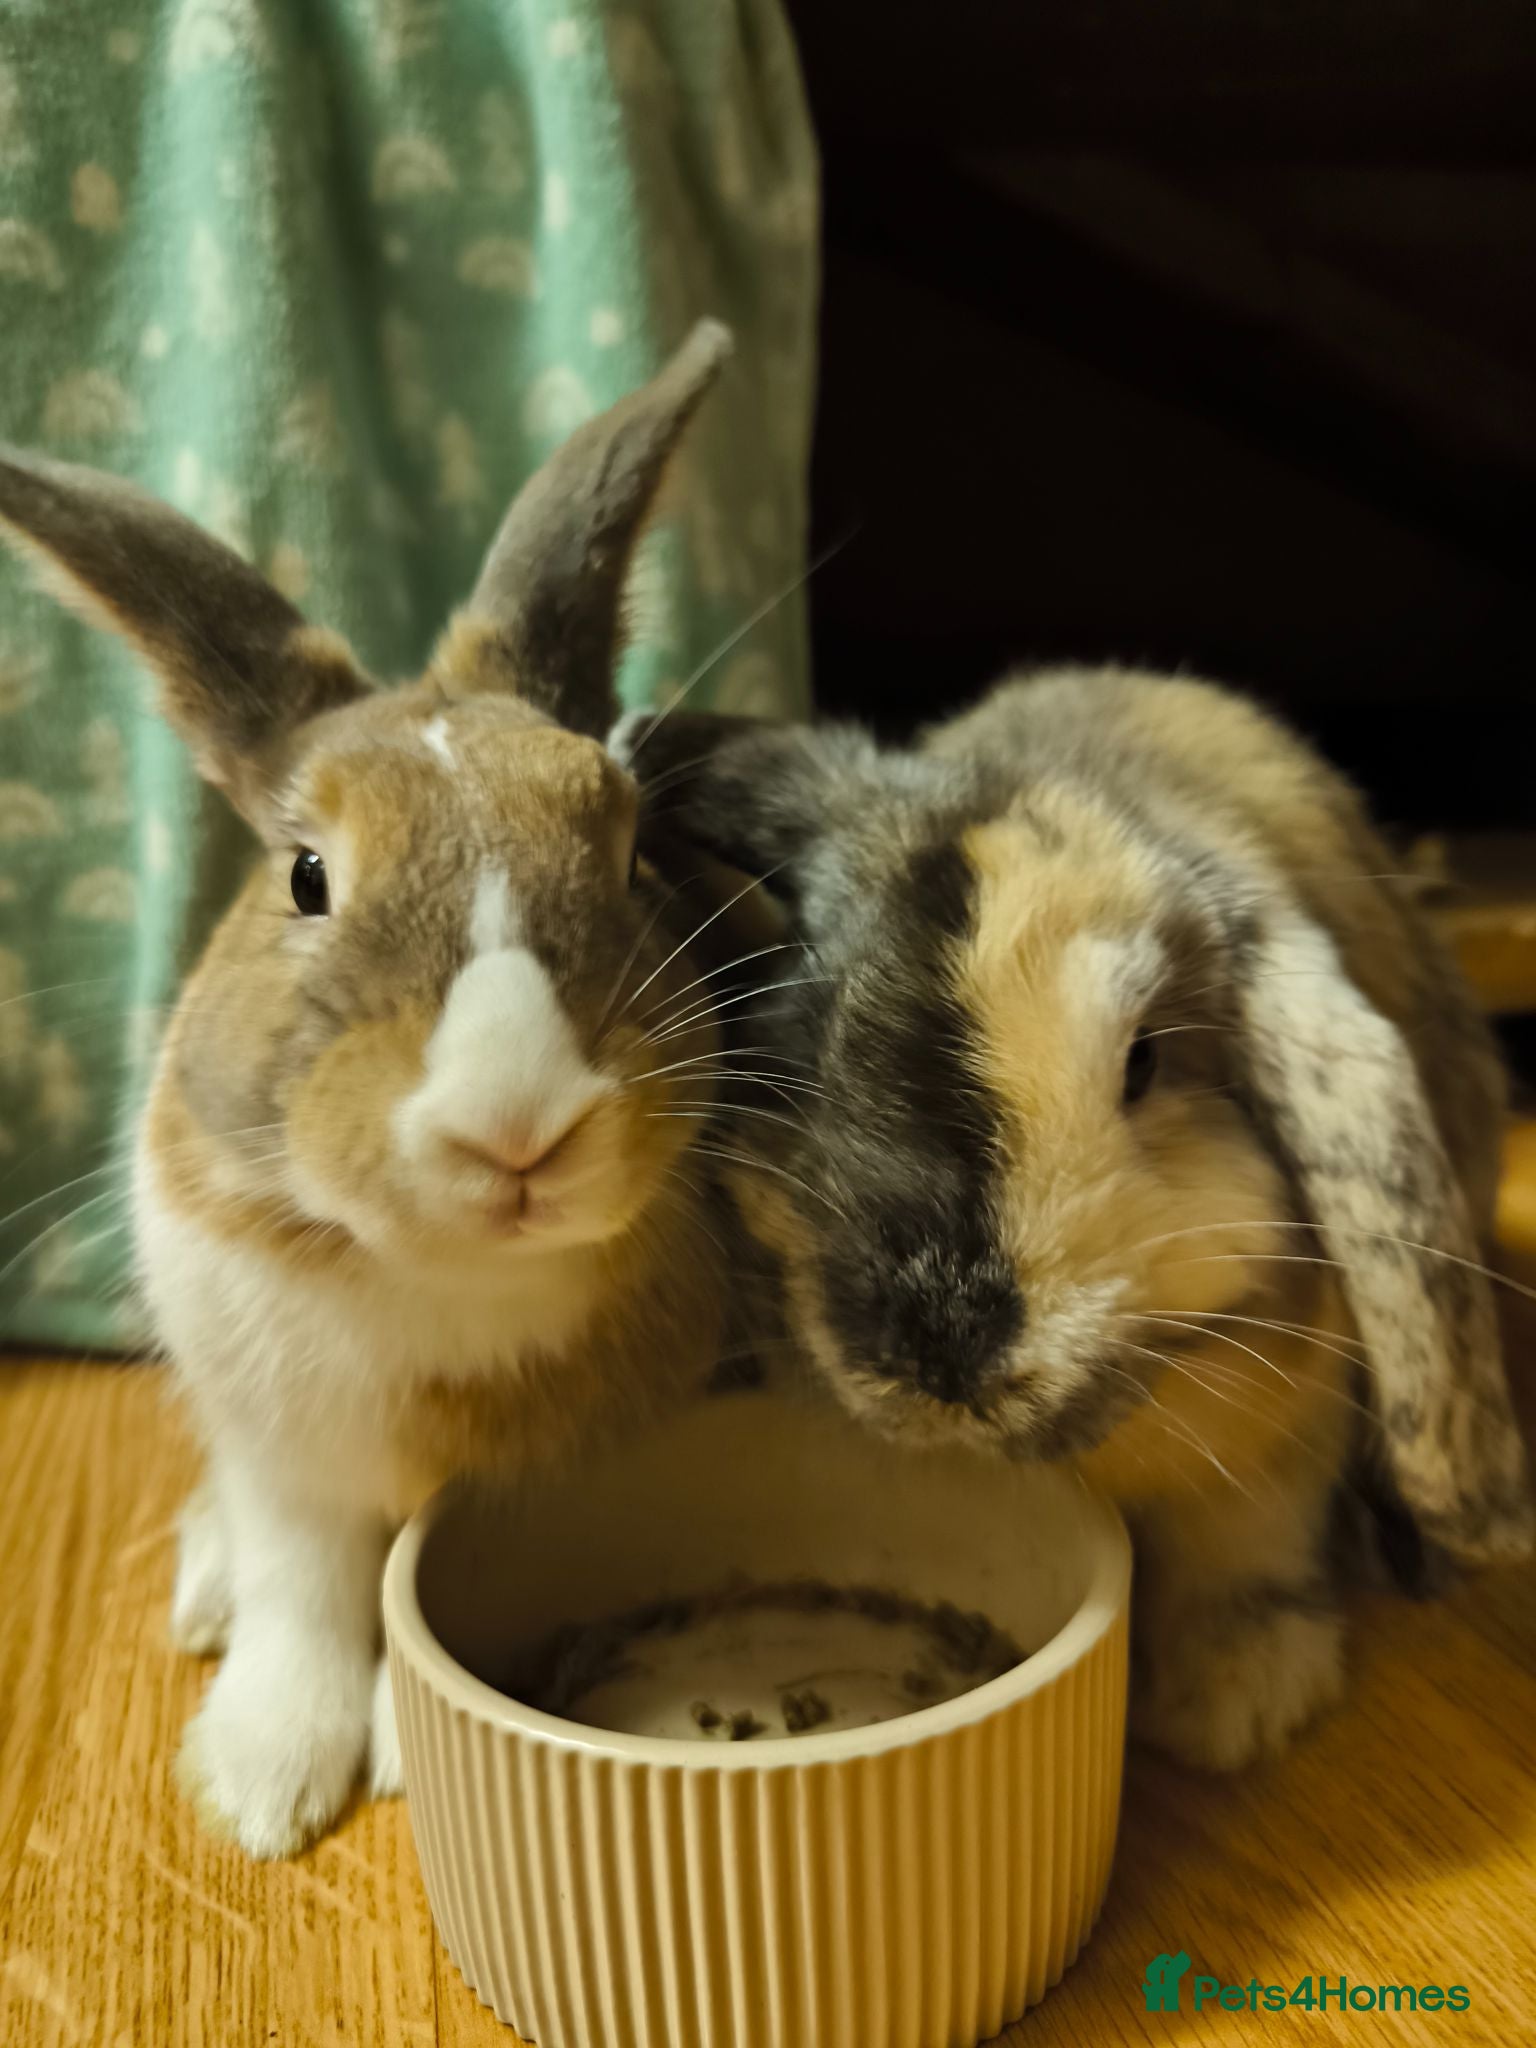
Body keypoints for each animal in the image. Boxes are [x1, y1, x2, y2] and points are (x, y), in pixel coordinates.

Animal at [0, 321, 753, 1856]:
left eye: (628, 851)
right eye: (305, 877)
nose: (518, 1125)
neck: (439, 1277)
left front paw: (376, 1760)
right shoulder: (282, 1457)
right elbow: (305, 1589)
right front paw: (261, 1789)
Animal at [615, 666, 1534, 1770]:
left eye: (1144, 1061)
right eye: (813, 1033)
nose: (942, 1355)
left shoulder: (1288, 1427)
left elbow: (1246, 1533)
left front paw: (1234, 1698)